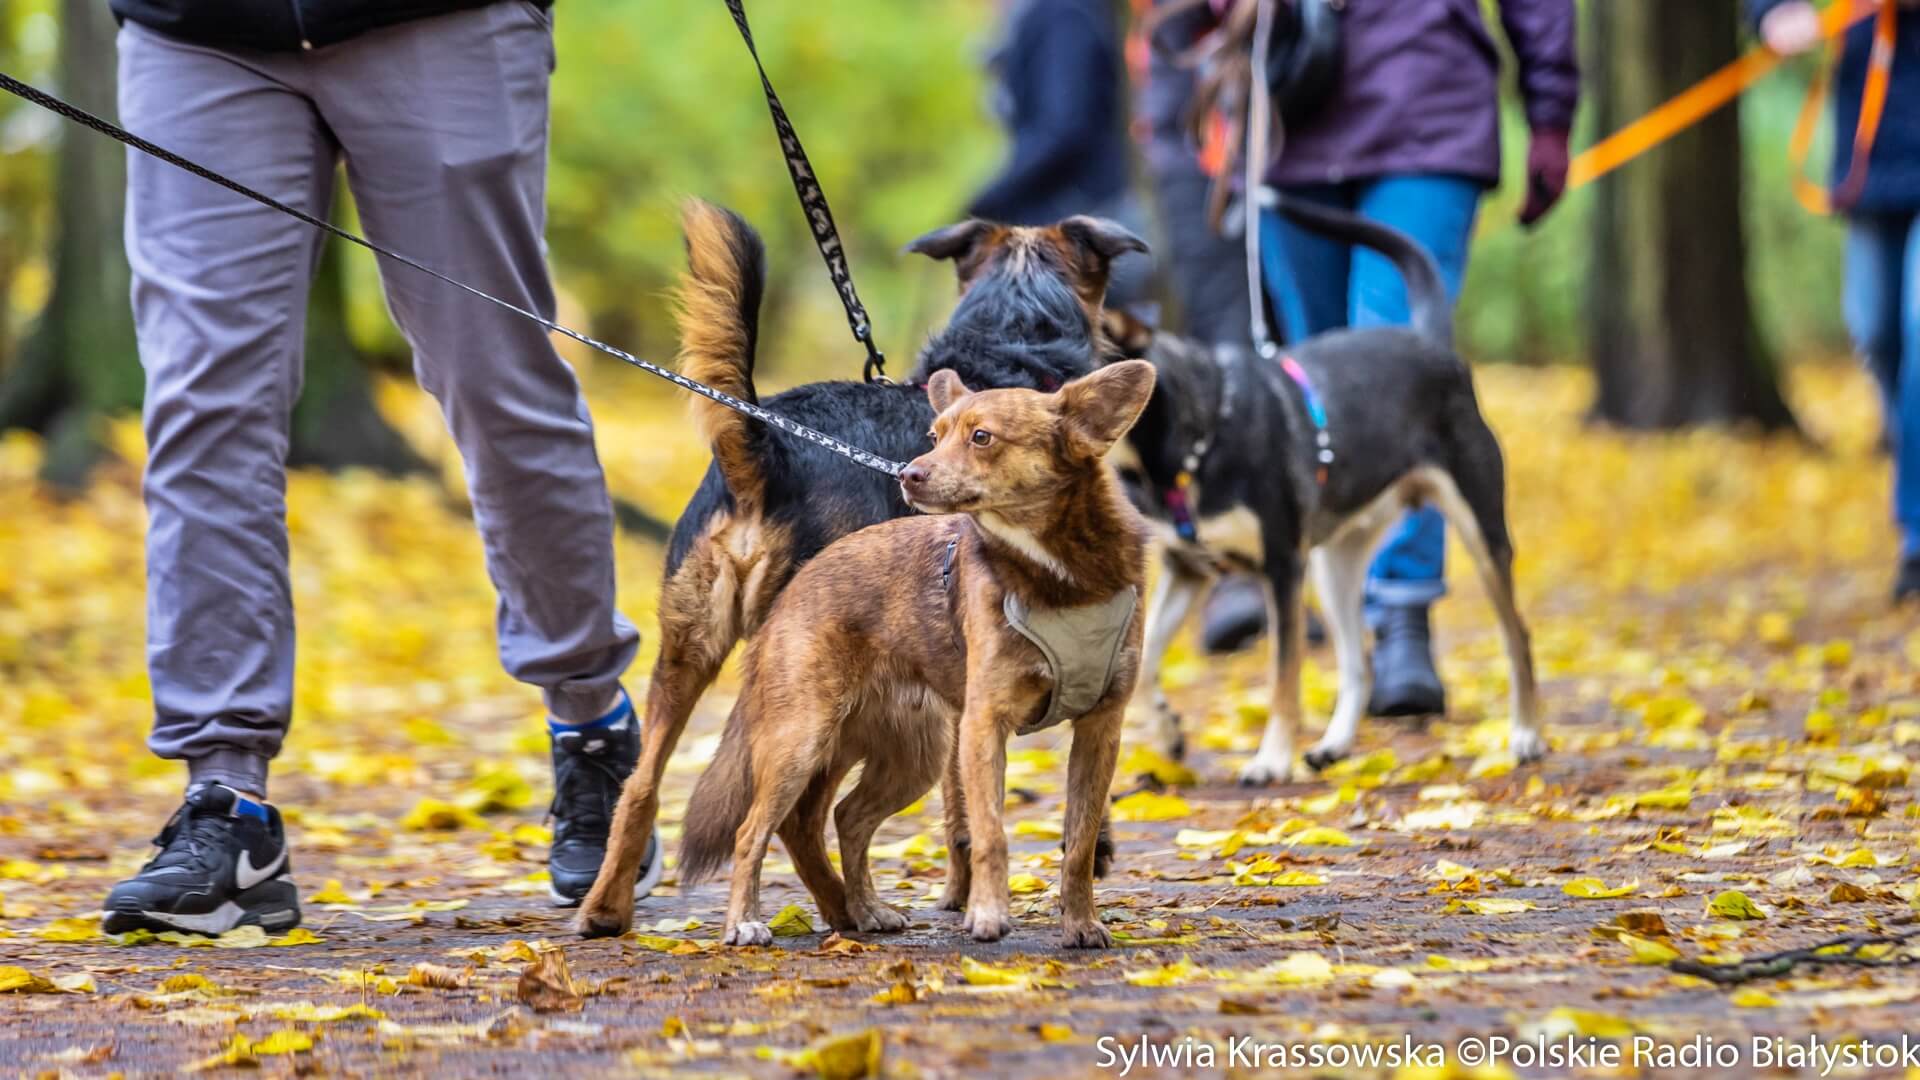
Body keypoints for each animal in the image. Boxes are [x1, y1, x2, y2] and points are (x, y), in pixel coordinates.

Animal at [674, 360, 1155, 949]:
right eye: (934, 435)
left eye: (981, 437)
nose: (908, 474)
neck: (1057, 572)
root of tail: (789, 593)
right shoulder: (984, 724)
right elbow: (990, 832)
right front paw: (988, 914)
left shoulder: (1099, 730)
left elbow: (1080, 842)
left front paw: (1081, 923)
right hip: (802, 741)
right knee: (753, 830)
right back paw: (744, 921)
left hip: (911, 756)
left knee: (846, 817)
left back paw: (866, 911)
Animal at [1106, 197, 1543, 785]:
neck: (1197, 437)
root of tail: (1428, 342)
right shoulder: (1187, 566)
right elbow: (1148, 657)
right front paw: (1169, 734)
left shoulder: (1281, 567)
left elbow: (1282, 674)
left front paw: (1270, 759)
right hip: (1335, 565)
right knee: (1358, 662)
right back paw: (1333, 746)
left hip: (1480, 532)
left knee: (1517, 637)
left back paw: (1526, 735)